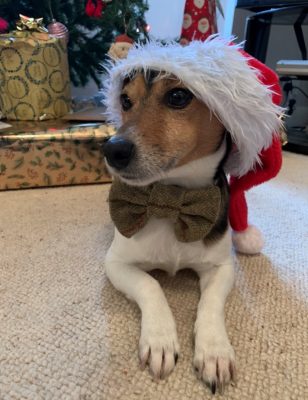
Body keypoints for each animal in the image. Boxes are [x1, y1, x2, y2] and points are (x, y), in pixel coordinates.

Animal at [102, 37, 282, 394]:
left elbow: (210, 305)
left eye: (178, 96)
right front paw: (159, 339)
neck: (172, 198)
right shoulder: (116, 263)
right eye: (126, 101)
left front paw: (214, 351)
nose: (112, 149)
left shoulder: (221, 267)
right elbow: (150, 286)